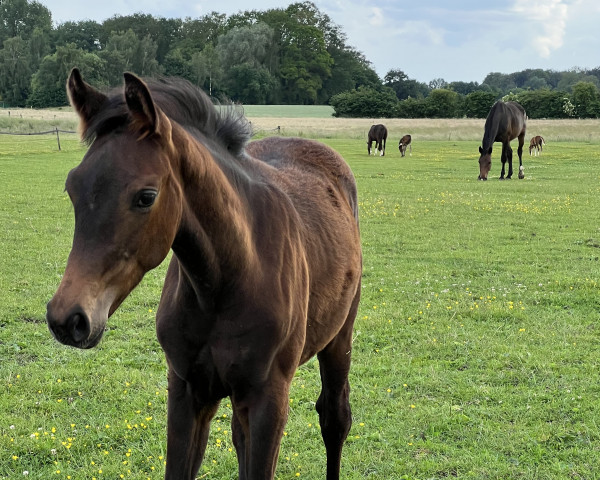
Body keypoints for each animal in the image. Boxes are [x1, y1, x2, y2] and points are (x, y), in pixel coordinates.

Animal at [45, 70, 360, 480]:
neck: (225, 282)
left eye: (146, 196)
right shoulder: (186, 390)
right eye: (72, 188)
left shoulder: (269, 398)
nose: (68, 319)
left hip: (339, 338)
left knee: (334, 417)